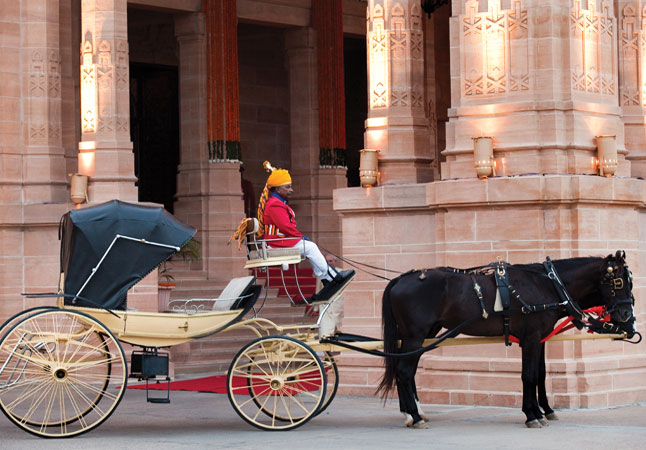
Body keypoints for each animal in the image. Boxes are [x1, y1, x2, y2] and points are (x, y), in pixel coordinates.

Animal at [380, 251, 636, 428]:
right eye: (619, 282)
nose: (627, 315)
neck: (549, 285)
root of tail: (400, 279)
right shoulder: (531, 338)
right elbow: (529, 375)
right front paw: (532, 414)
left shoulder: (539, 339)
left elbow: (540, 375)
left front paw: (542, 410)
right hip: (415, 336)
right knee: (404, 372)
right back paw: (414, 415)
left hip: (423, 335)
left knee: (407, 372)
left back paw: (414, 412)